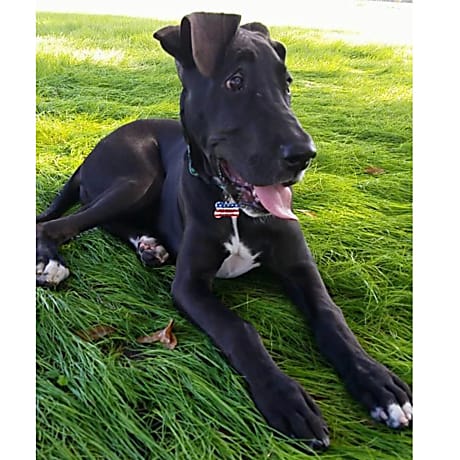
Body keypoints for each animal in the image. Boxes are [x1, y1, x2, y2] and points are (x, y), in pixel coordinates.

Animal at [36, 12, 412, 451]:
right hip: (137, 173)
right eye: (235, 82)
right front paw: (285, 397)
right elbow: (239, 329)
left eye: (287, 83)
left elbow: (331, 316)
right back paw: (53, 262)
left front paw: (379, 383)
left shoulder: (301, 269)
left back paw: (149, 245)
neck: (232, 207)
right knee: (60, 224)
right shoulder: (190, 286)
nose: (305, 155)